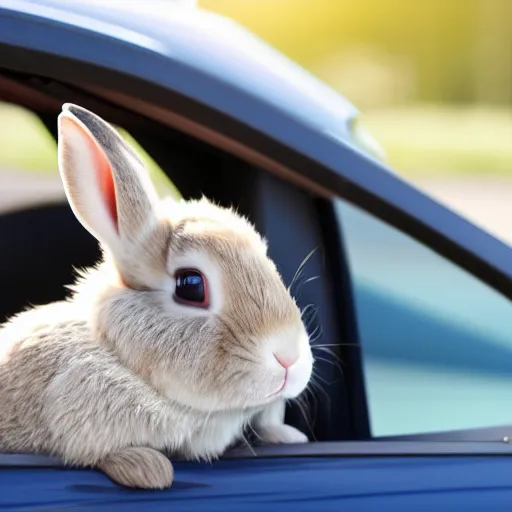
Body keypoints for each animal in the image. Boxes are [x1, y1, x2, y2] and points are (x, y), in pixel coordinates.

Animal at [0, 103, 312, 488]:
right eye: (191, 285)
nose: (289, 359)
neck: (121, 356)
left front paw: (289, 436)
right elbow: (100, 453)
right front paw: (149, 469)